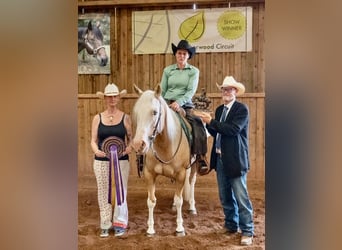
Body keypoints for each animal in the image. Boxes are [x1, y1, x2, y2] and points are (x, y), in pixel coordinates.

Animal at [131, 84, 196, 236]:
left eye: (155, 112)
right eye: (136, 113)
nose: (138, 145)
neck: (166, 145)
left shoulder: (181, 174)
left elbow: (179, 201)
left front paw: (179, 228)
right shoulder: (149, 174)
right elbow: (151, 201)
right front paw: (150, 229)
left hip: (194, 166)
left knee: (192, 182)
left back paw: (192, 206)